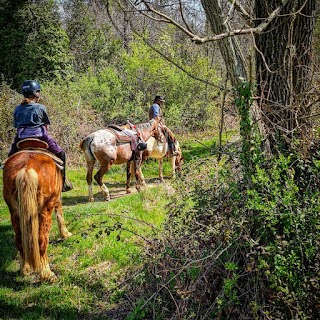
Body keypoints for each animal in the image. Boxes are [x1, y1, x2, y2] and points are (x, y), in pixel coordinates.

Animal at [2, 149, 71, 280]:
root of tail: (27, 168)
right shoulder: (56, 198)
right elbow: (59, 211)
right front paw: (65, 234)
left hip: (15, 212)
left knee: (19, 240)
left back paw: (25, 268)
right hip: (45, 210)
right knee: (42, 241)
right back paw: (47, 273)